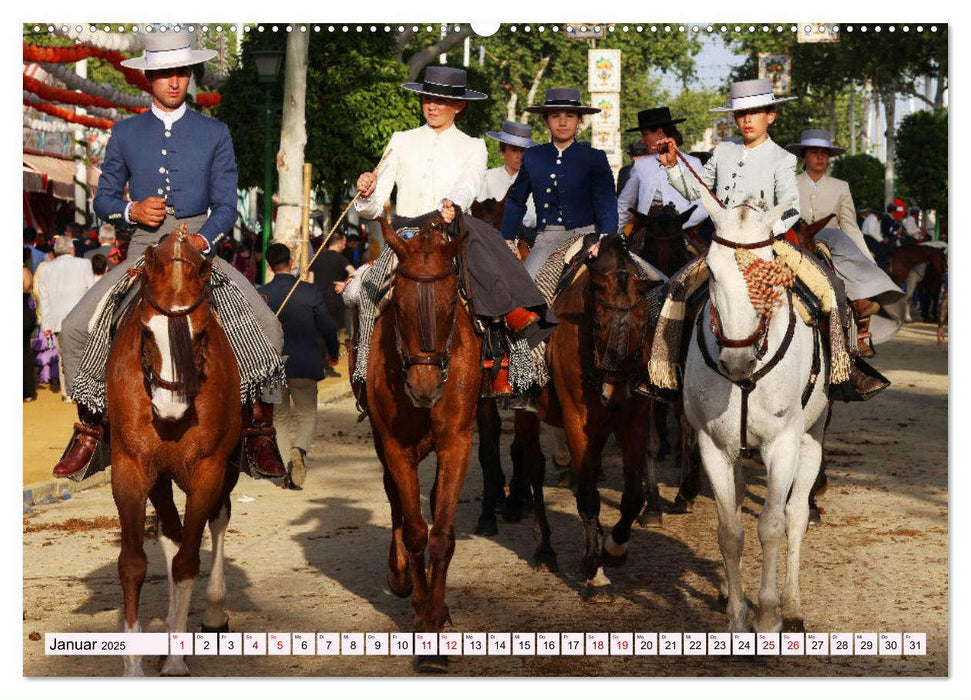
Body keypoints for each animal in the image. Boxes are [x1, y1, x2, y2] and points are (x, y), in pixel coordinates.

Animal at [107, 231, 241, 680]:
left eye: (200, 335)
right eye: (147, 334)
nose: (170, 409)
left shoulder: (208, 471)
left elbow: (187, 562)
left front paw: (177, 660)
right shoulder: (131, 470)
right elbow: (133, 563)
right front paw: (133, 667)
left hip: (226, 469)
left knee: (217, 521)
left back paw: (213, 612)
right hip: (161, 477)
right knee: (170, 529)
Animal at [516, 235, 660, 600]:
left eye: (642, 324)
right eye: (597, 324)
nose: (615, 395)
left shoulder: (634, 421)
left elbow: (631, 497)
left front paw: (613, 548)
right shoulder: (576, 421)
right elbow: (588, 498)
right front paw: (597, 575)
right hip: (528, 416)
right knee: (535, 467)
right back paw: (545, 550)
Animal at [684, 190, 828, 636]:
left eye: (768, 270)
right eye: (712, 272)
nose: (737, 358)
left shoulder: (782, 445)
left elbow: (772, 524)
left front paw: (767, 615)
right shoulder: (712, 447)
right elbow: (730, 531)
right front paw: (736, 616)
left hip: (812, 438)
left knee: (796, 515)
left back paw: (792, 606)